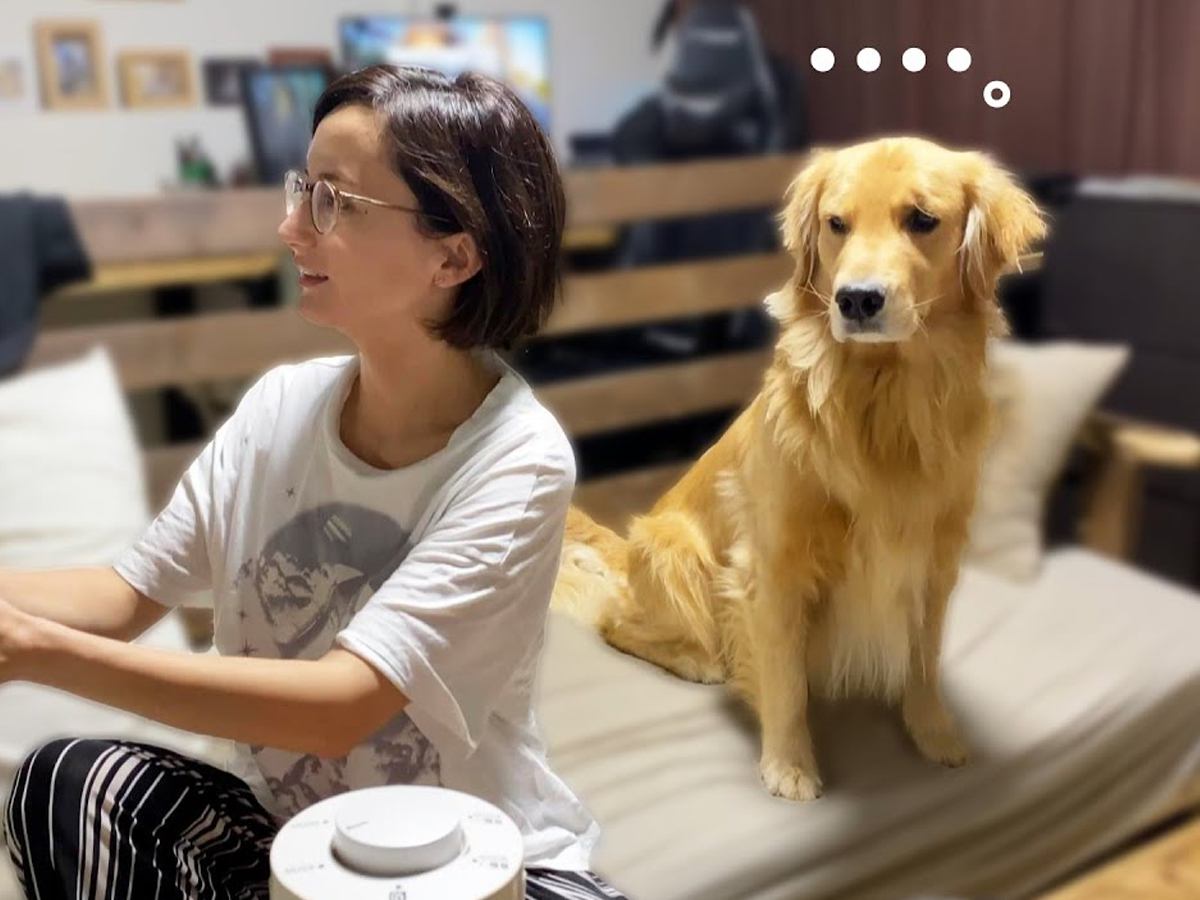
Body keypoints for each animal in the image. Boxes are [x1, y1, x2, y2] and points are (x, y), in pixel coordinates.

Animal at [551, 136, 1046, 801]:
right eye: (837, 224)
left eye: (922, 219)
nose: (856, 299)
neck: (884, 399)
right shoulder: (773, 566)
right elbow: (784, 678)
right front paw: (789, 764)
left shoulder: (934, 561)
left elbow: (923, 662)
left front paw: (934, 733)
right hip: (674, 552)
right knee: (616, 621)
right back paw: (697, 660)